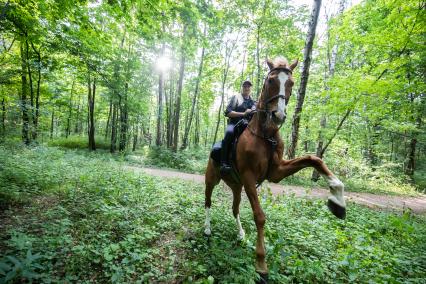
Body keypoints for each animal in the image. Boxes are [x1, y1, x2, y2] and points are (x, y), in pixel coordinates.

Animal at [203, 57, 346, 282]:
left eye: (291, 83)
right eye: (270, 80)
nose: (278, 115)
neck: (264, 134)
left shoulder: (276, 172)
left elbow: (313, 159)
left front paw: (338, 200)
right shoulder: (249, 177)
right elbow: (260, 216)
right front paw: (261, 264)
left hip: (236, 186)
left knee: (235, 208)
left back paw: (241, 234)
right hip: (212, 180)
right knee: (208, 202)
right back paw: (207, 229)